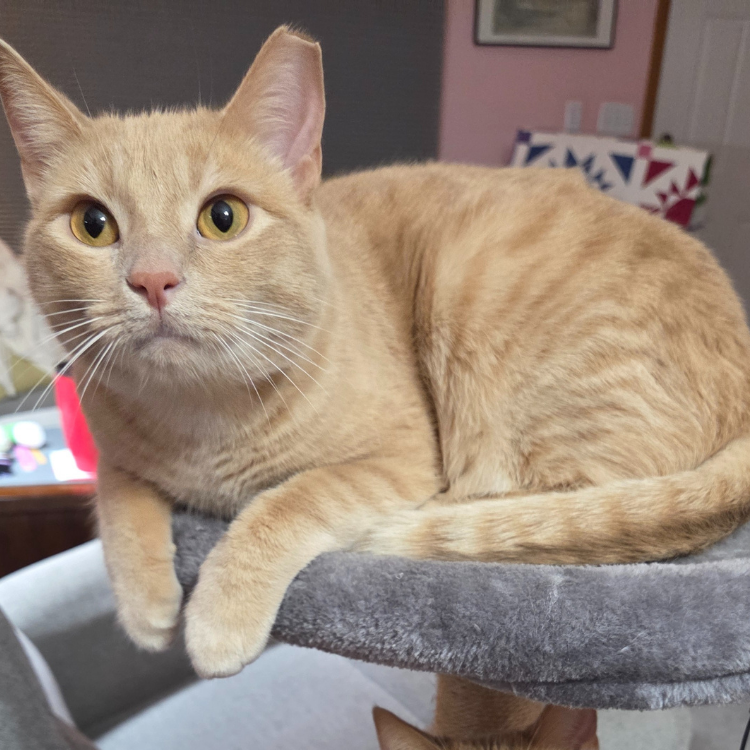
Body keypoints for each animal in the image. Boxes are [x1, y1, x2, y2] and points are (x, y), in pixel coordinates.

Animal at [1, 25, 750, 683]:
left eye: (223, 216)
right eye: (93, 225)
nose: (153, 279)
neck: (201, 419)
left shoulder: (399, 458)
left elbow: (287, 501)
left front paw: (217, 614)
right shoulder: (114, 445)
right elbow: (117, 494)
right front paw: (146, 602)